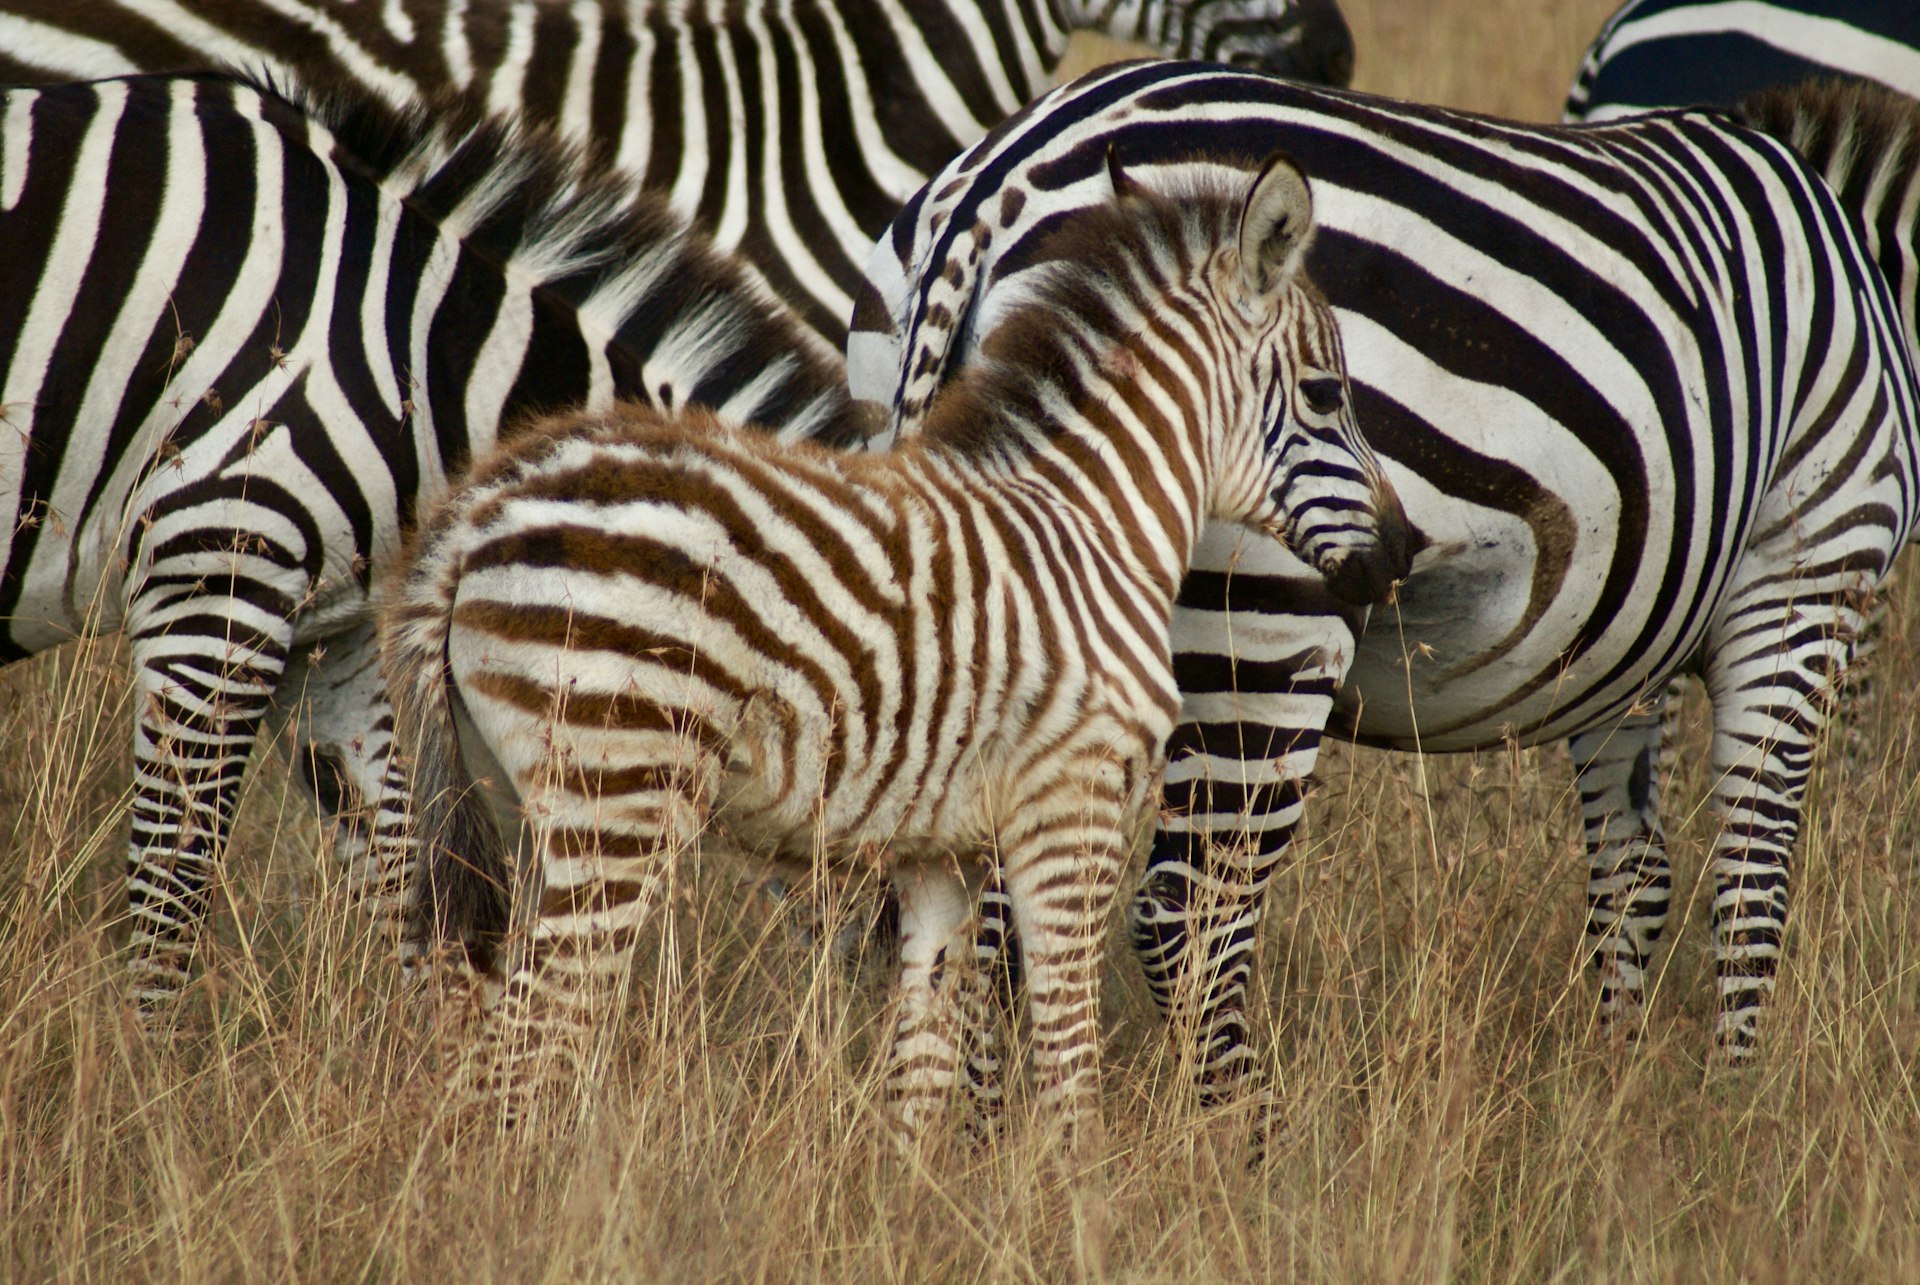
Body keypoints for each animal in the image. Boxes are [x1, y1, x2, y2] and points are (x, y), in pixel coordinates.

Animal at [0, 71, 873, 1007]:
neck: (419, 357)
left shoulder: (323, 632)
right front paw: (152, 1048)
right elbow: (173, 894)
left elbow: (401, 869)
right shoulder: (212, 578)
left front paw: (429, 1043)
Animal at [380, 154, 1410, 1144]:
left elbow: (923, 1072)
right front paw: (1072, 1197)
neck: (1093, 523)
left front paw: (915, 1193)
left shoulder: (939, 854)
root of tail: (476, 515)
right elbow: (1068, 1071)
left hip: (511, 798)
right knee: (528, 1044)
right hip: (614, 795)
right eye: (1328, 396)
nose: (1404, 553)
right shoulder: (1068, 812)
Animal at [844, 60, 1920, 1108]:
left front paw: (1618, 1091)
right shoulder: (1805, 567)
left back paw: (978, 1146)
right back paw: (1240, 1148)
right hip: (1263, 614)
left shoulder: (1625, 629)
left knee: (986, 916)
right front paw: (1735, 1110)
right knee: (1188, 918)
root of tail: (999, 183)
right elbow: (1751, 877)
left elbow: (1637, 872)